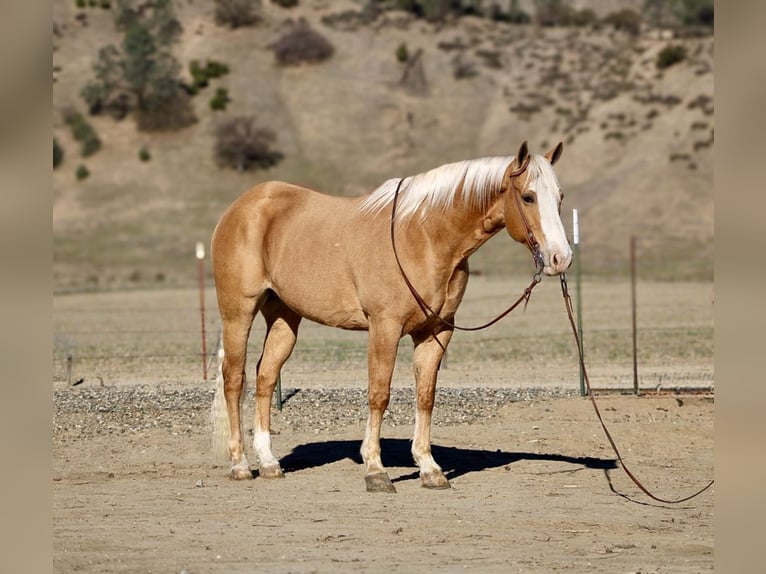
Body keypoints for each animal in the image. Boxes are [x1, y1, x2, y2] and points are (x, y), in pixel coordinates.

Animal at [213, 141, 572, 496]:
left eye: (560, 197)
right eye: (528, 197)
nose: (561, 258)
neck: (425, 237)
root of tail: (240, 208)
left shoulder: (436, 332)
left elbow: (426, 396)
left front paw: (429, 469)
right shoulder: (384, 328)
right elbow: (379, 394)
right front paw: (375, 470)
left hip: (284, 317)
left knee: (266, 376)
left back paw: (269, 463)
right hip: (238, 313)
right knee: (234, 379)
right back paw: (240, 465)